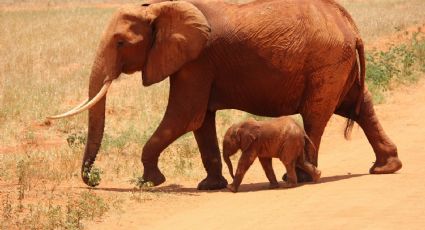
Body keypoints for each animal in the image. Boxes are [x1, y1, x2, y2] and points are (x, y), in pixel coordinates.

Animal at [48, 0, 400, 190]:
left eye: (120, 43)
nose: (94, 179)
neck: (161, 8)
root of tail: (350, 25)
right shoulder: (196, 64)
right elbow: (200, 120)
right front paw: (210, 186)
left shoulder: (198, 60)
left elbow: (184, 116)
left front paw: (149, 181)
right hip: (338, 64)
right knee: (358, 106)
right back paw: (385, 168)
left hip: (327, 62)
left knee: (316, 115)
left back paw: (300, 177)